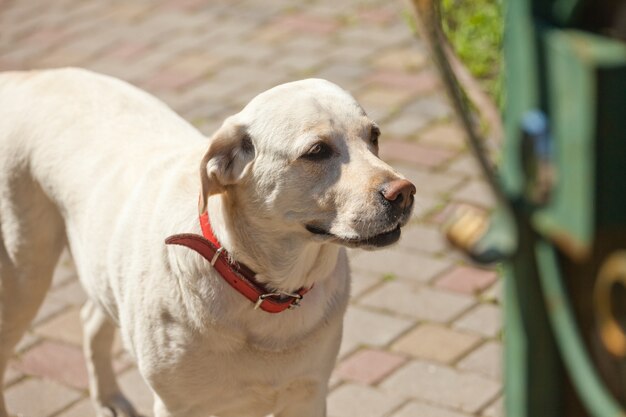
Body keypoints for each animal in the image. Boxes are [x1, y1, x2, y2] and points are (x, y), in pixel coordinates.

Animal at [0, 69, 414, 416]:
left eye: (374, 137)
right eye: (317, 151)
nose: (404, 193)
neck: (262, 288)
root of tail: (23, 77)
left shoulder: (309, 394)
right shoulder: (176, 406)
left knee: (89, 318)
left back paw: (109, 399)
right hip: (24, 275)